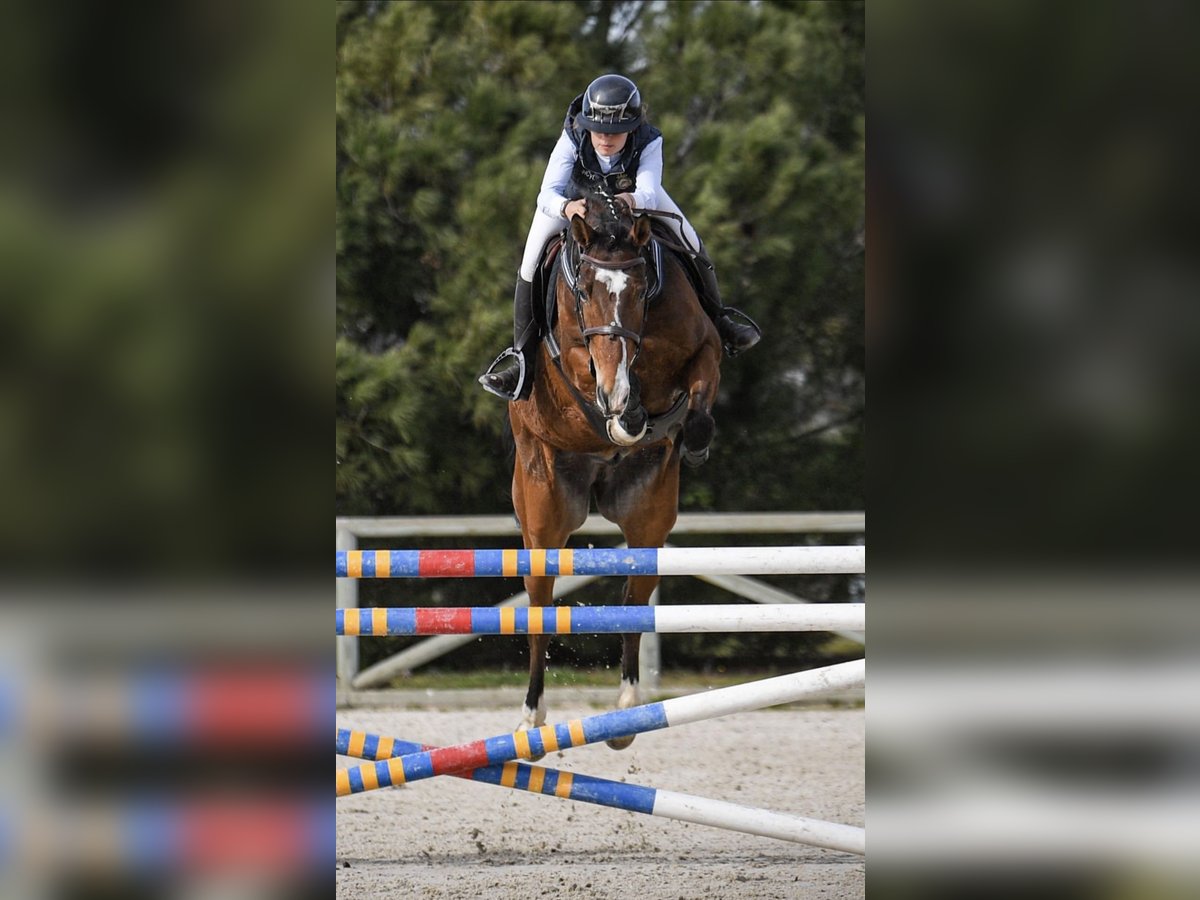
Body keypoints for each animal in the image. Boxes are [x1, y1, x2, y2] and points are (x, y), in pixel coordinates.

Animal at [506, 188, 720, 753]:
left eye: (643, 287)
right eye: (583, 290)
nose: (617, 392)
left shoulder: (705, 346)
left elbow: (699, 390)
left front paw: (684, 434)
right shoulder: (575, 363)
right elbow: (596, 377)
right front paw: (625, 408)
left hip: (647, 518)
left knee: (633, 606)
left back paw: (626, 711)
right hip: (544, 517)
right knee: (539, 608)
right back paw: (531, 717)